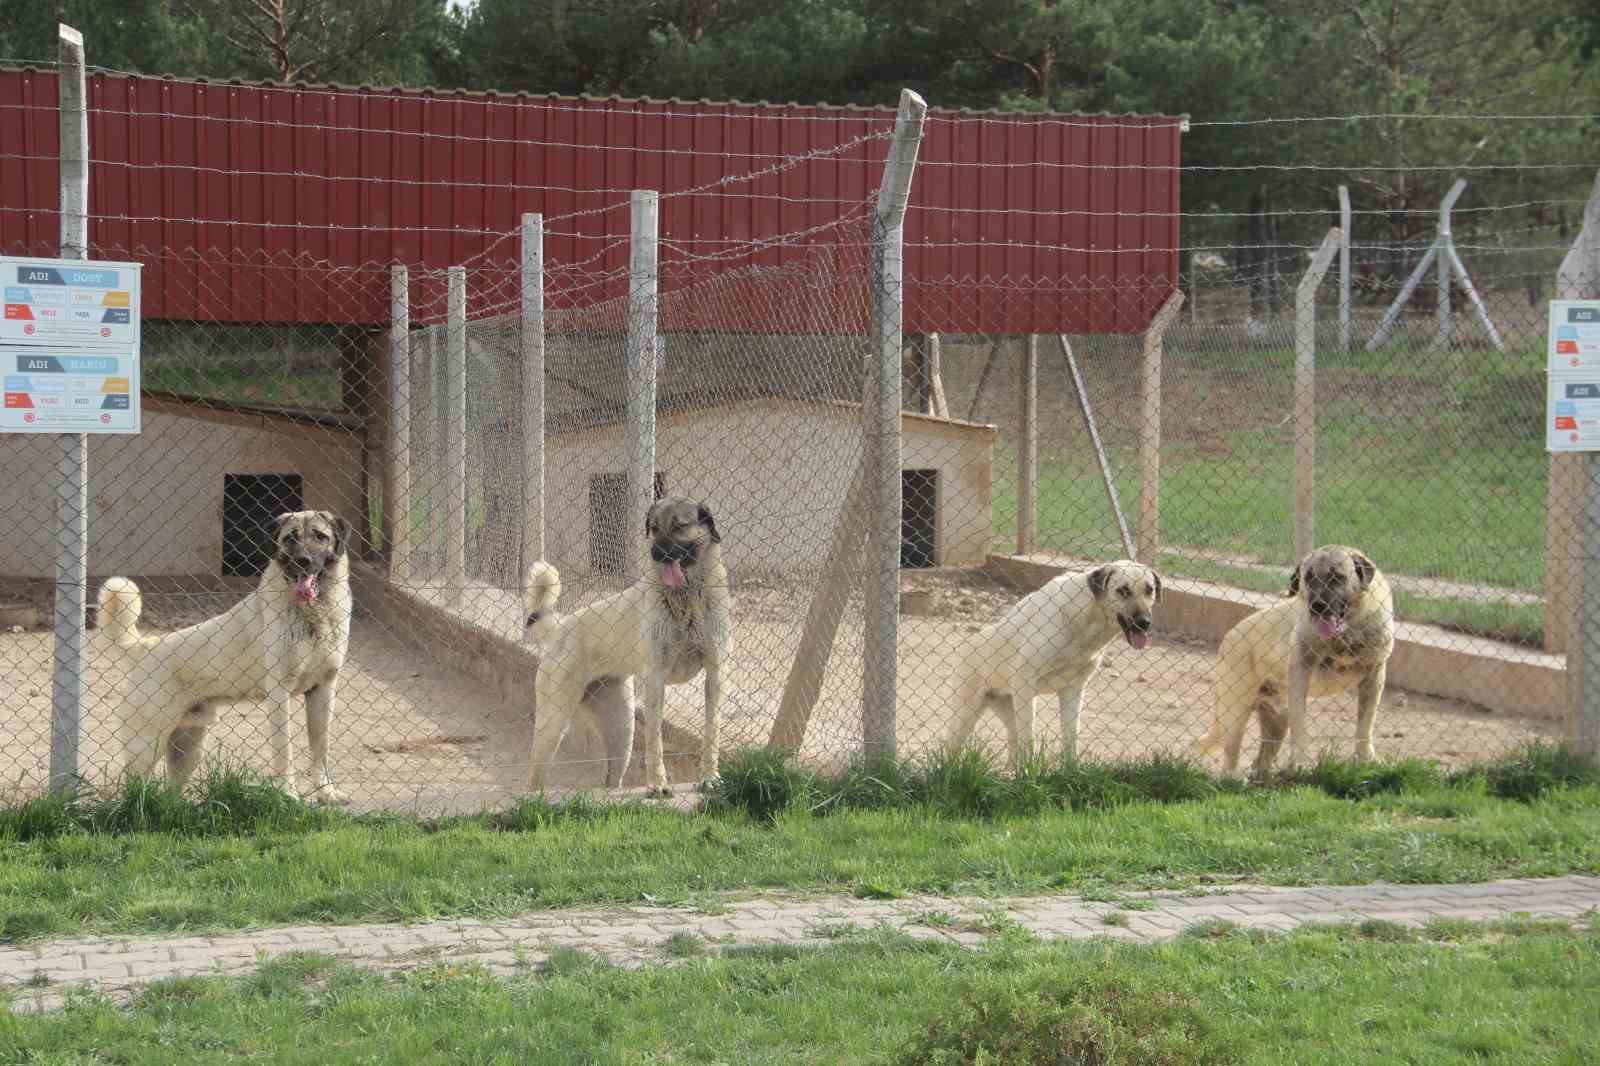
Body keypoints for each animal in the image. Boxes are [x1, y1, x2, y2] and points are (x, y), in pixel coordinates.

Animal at [98, 512, 355, 800]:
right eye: (291, 538)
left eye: (320, 537)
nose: (304, 561)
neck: (314, 613)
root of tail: (147, 646)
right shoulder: (279, 693)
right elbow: (284, 751)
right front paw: (288, 795)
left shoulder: (323, 688)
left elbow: (321, 748)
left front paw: (326, 793)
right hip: (147, 743)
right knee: (133, 786)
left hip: (188, 747)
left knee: (170, 791)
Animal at [1196, 544, 1395, 768]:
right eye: (1308, 578)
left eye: (1337, 577)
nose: (1317, 606)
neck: (1347, 631)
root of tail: (1228, 636)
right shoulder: (1301, 671)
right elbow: (1300, 723)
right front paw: (1301, 761)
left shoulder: (1375, 674)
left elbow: (1366, 723)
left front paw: (1365, 758)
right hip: (1235, 715)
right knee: (1231, 757)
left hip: (1275, 723)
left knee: (1260, 762)